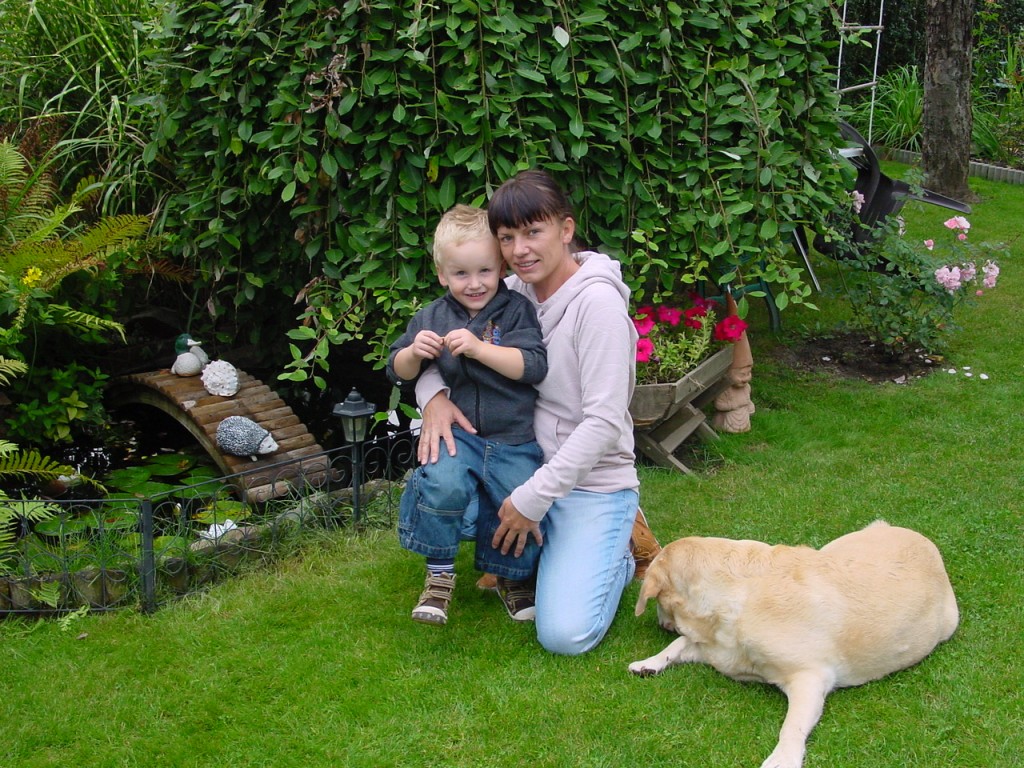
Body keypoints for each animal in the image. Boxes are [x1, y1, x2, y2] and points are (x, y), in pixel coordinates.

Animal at [628, 520, 959, 768]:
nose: (660, 623)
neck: (734, 598)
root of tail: (925, 542)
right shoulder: (716, 648)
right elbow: (677, 645)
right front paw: (649, 663)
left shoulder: (810, 678)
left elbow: (792, 725)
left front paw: (783, 758)